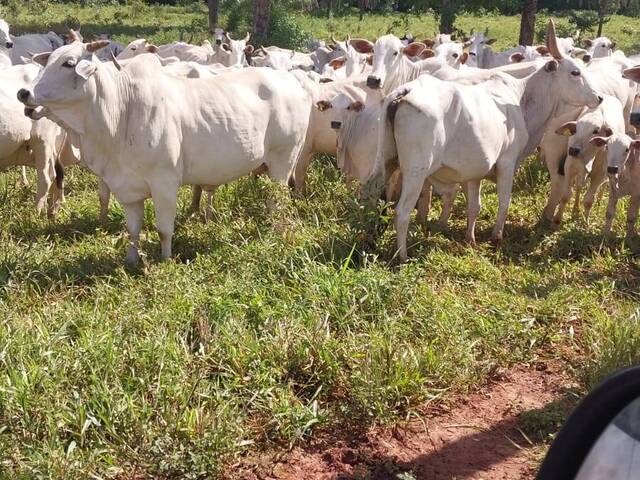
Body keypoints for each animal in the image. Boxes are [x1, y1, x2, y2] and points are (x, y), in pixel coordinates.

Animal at [23, 42, 316, 262]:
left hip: (284, 159)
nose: (24, 93)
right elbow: (133, 229)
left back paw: (272, 230)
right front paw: (131, 260)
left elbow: (164, 229)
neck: (121, 111)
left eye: (68, 63)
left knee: (277, 200)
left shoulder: (164, 183)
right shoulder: (126, 188)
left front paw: (165, 260)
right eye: (48, 61)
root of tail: (292, 81)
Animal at [368, 20, 604, 260]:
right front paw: (496, 237)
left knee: (376, 200)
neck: (521, 98)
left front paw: (470, 239)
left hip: (387, 163)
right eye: (575, 72)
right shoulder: (507, 163)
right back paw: (402, 256)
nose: (599, 97)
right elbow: (504, 201)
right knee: (402, 212)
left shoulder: (475, 171)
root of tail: (405, 90)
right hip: (416, 171)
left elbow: (475, 206)